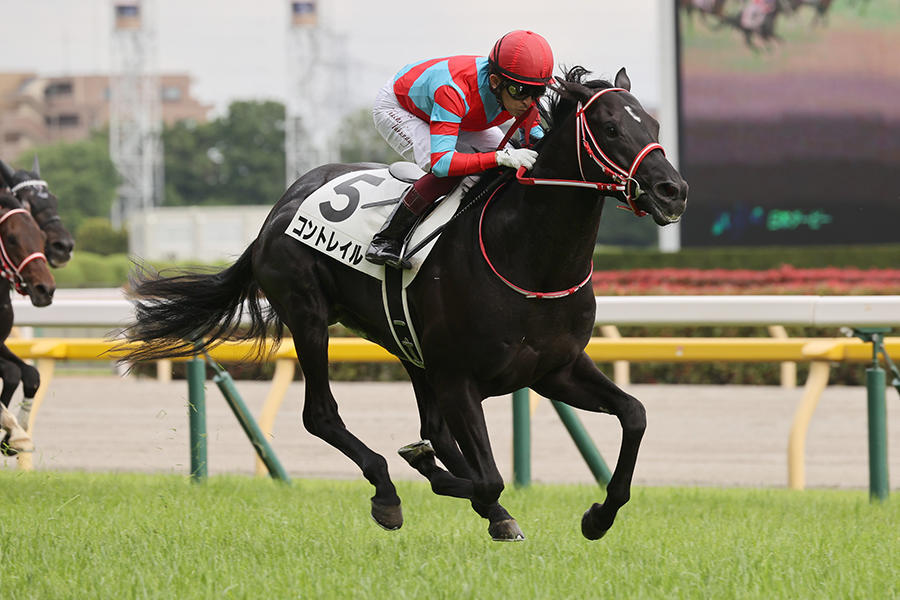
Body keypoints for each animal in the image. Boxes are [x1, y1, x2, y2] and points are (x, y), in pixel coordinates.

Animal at [120, 66, 688, 541]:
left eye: (654, 123)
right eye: (610, 129)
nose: (672, 190)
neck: (528, 258)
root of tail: (278, 209)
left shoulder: (554, 369)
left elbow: (634, 414)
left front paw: (598, 516)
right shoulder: (460, 377)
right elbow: (489, 478)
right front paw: (441, 480)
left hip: (407, 343)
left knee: (431, 427)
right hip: (310, 316)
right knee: (321, 415)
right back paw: (389, 490)